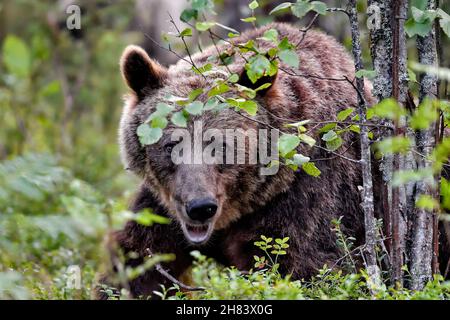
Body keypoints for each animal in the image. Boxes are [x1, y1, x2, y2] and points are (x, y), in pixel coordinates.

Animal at [96, 23, 376, 300]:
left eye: (221, 145)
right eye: (171, 145)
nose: (200, 207)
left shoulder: (307, 201)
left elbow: (304, 267)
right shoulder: (161, 211)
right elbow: (137, 263)